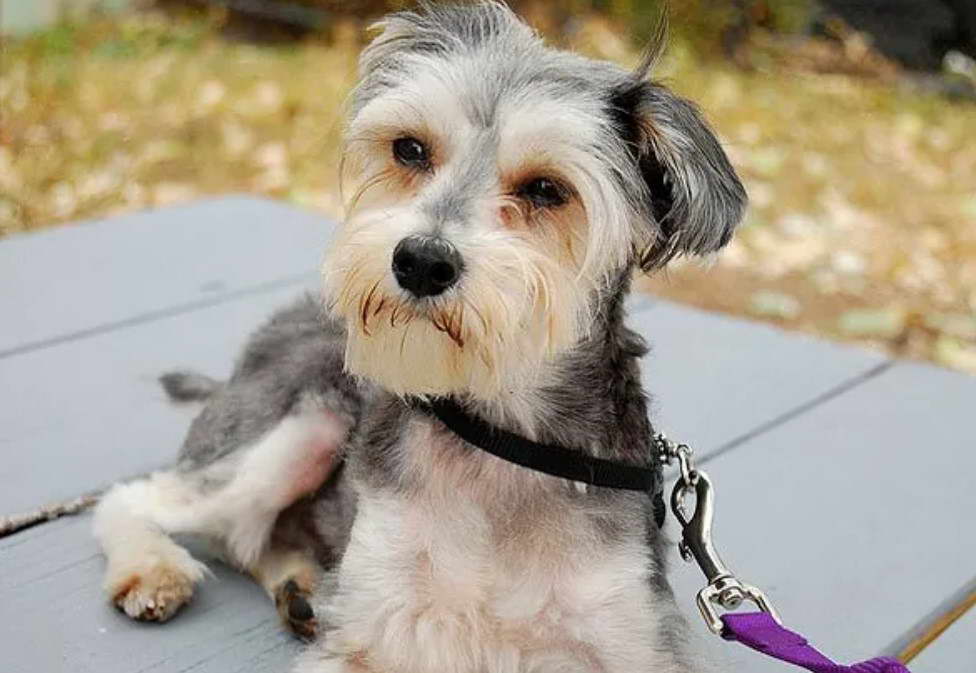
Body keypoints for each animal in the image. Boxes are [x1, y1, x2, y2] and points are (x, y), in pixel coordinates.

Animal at [93, 2, 748, 668]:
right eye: (409, 149)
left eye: (546, 189)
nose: (421, 261)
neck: (500, 439)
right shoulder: (373, 622)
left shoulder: (628, 638)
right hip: (300, 426)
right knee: (139, 500)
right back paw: (153, 567)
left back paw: (299, 588)